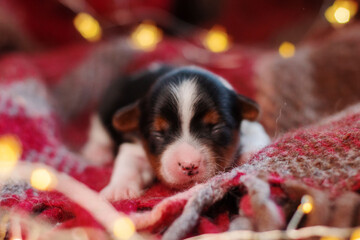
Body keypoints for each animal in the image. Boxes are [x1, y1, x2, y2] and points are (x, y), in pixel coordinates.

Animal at [82, 64, 270, 201]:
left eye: (216, 127)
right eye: (158, 133)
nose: (189, 165)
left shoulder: (250, 125)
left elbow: (256, 133)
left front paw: (252, 153)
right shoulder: (135, 144)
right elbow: (129, 163)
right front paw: (119, 190)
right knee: (99, 133)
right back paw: (96, 152)